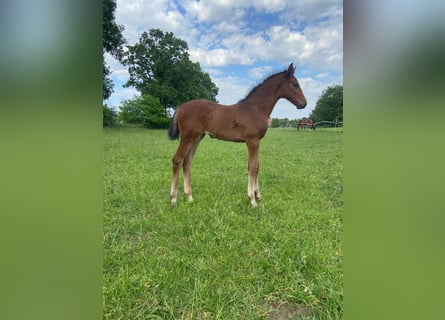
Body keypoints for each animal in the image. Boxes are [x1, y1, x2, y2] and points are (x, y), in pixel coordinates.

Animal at [166, 63, 306, 208]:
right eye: (295, 84)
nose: (304, 103)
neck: (256, 108)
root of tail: (181, 107)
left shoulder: (256, 142)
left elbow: (256, 166)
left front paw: (258, 195)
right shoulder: (252, 141)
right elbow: (253, 166)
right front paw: (252, 200)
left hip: (197, 137)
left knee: (187, 161)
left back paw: (189, 197)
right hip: (187, 137)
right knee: (177, 160)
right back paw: (173, 199)